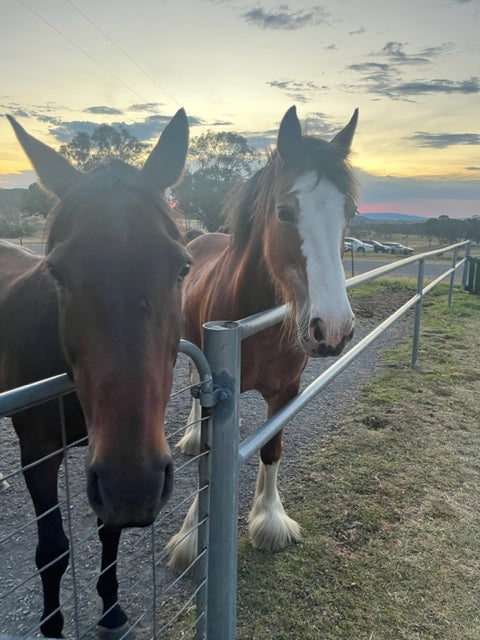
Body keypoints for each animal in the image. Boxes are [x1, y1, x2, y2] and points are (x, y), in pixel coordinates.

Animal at [0, 107, 191, 636]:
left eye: (183, 267)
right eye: (57, 272)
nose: (133, 486)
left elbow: (109, 534)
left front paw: (110, 607)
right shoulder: (39, 454)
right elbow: (51, 551)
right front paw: (51, 625)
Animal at [167, 105, 358, 568]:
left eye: (349, 213)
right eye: (285, 212)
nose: (333, 328)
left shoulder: (286, 392)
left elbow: (272, 450)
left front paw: (269, 519)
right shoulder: (218, 393)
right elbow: (209, 464)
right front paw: (191, 536)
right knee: (190, 385)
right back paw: (191, 433)